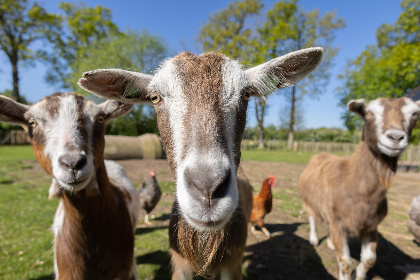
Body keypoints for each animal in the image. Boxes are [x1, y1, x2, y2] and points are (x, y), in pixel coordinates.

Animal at [296, 97, 420, 280]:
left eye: (414, 114)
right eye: (369, 113)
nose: (396, 137)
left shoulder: (371, 226)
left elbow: (369, 260)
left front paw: (358, 273)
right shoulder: (338, 223)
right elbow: (344, 262)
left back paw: (331, 243)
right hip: (308, 199)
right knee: (312, 216)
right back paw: (314, 238)